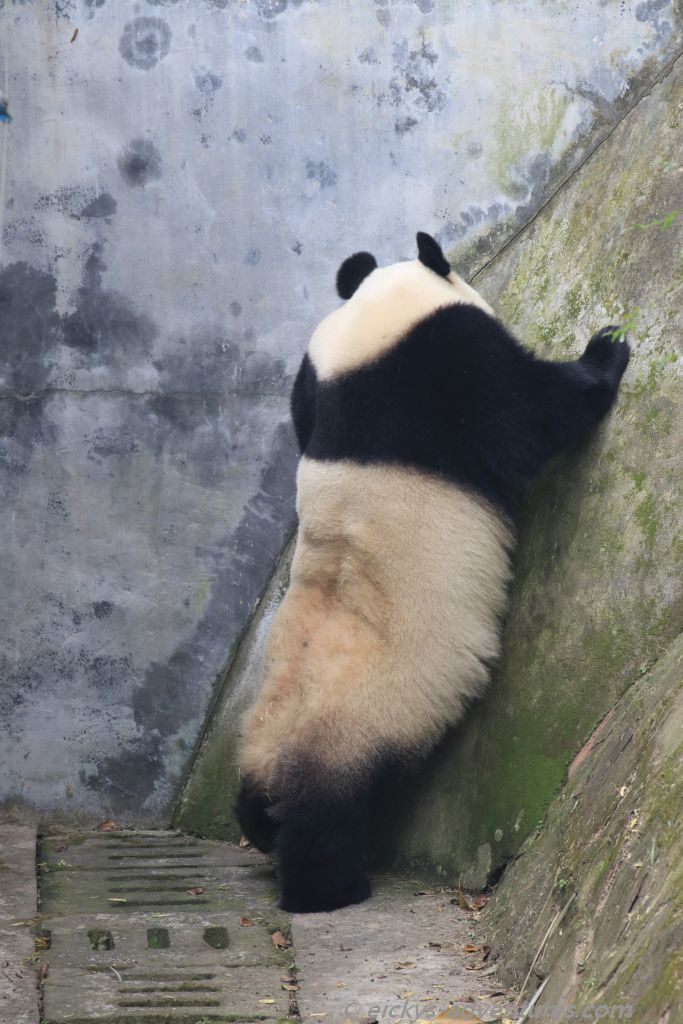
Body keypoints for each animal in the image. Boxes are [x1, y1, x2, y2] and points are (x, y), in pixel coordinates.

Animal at [235, 231, 629, 913]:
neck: (368, 340)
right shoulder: (444, 369)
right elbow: (531, 413)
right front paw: (606, 350)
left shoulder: (316, 387)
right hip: (362, 719)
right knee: (326, 812)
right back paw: (330, 889)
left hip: (266, 725)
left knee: (255, 797)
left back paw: (262, 831)